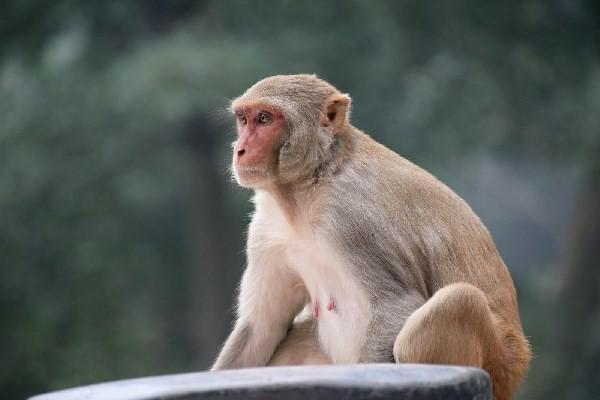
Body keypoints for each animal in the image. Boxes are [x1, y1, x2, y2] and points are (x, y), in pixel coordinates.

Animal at [211, 73, 528, 398]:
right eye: (243, 119)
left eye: (264, 119)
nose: (239, 149)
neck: (309, 185)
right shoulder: (267, 229)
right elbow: (261, 327)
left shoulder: (353, 217)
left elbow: (395, 304)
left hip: (499, 363)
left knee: (456, 301)